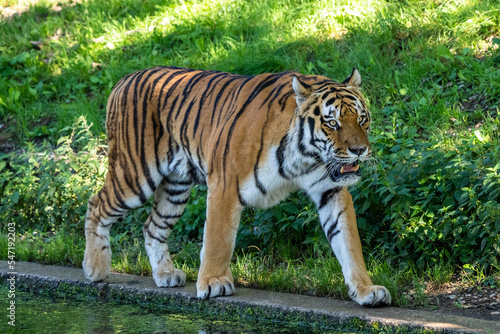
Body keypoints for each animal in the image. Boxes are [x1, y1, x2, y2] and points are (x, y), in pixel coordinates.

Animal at [84, 66, 392, 308]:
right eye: (332, 123)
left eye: (362, 119)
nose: (359, 150)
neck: (305, 157)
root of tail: (124, 79)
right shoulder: (224, 185)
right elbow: (218, 240)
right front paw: (213, 282)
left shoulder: (331, 191)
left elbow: (349, 243)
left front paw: (366, 290)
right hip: (135, 176)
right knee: (96, 204)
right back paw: (95, 268)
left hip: (176, 186)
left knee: (152, 226)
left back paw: (165, 275)